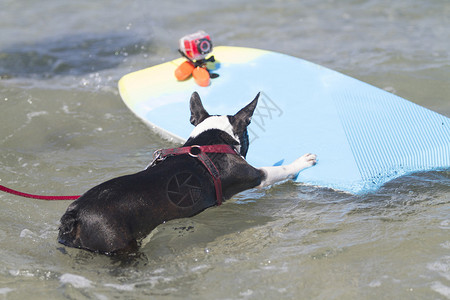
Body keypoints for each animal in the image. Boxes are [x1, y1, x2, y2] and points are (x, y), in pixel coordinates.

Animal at [58, 92, 314, 254]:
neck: (210, 140)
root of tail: (75, 214)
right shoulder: (253, 175)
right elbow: (278, 170)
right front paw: (302, 162)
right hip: (118, 245)